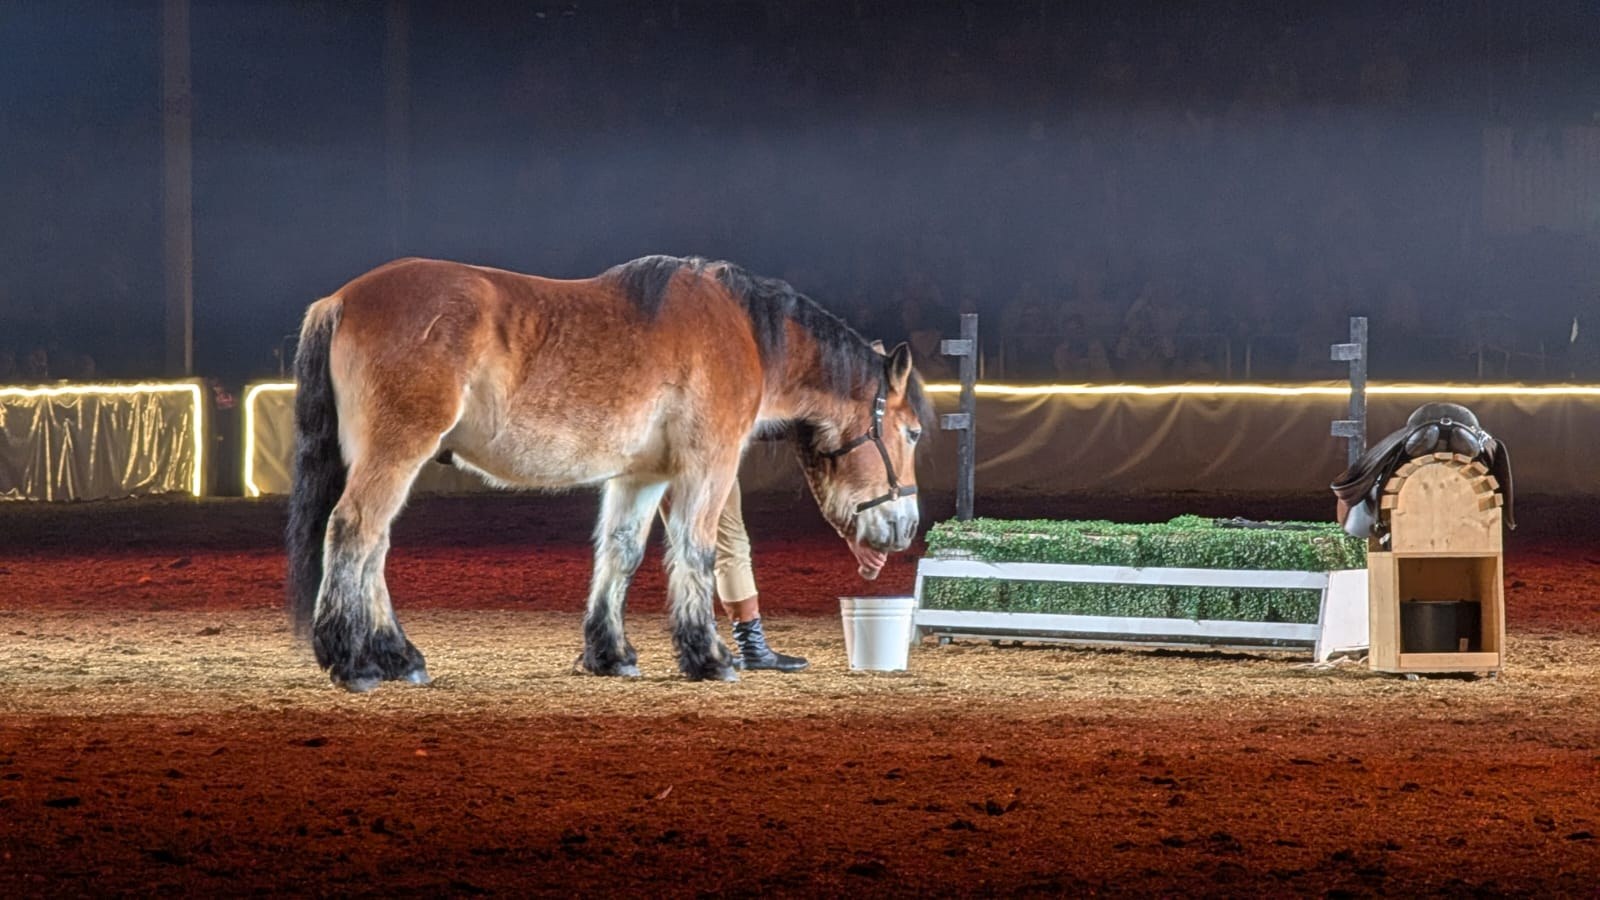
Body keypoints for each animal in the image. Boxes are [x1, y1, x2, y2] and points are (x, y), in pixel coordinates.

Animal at [287, 255, 932, 691]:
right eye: (913, 432)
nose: (905, 527)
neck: (744, 332)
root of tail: (340, 300)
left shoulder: (640, 476)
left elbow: (620, 553)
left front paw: (611, 654)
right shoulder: (708, 466)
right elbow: (696, 551)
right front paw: (709, 657)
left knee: (374, 546)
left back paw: (399, 657)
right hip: (396, 451)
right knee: (354, 532)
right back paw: (352, 662)